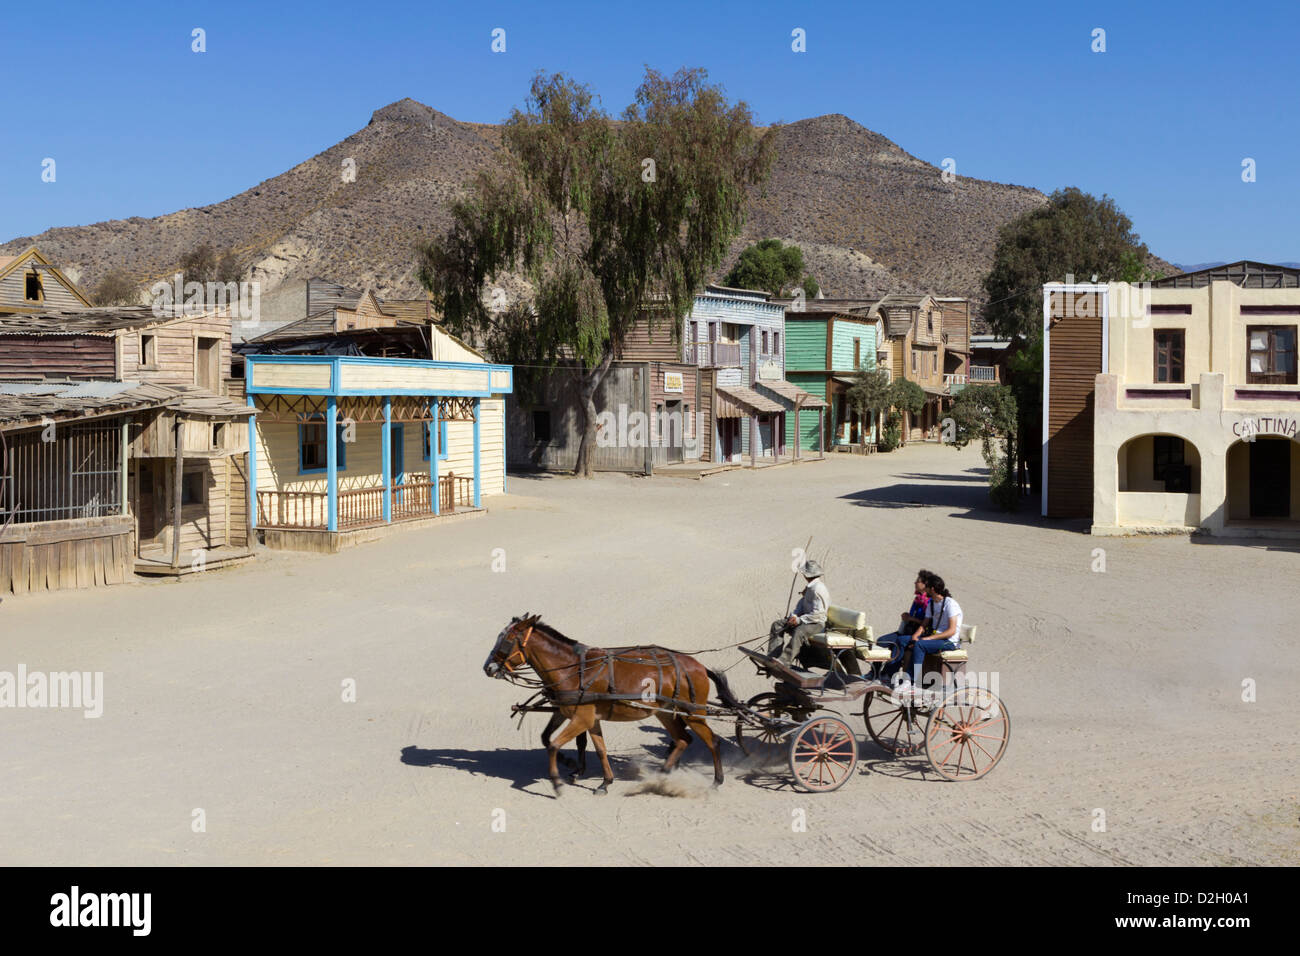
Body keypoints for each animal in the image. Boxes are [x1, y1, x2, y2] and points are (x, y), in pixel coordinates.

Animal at [483, 613, 738, 790]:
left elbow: (555, 744)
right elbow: (594, 748)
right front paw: (603, 781)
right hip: (664, 712)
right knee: (683, 739)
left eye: (506, 640)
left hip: (693, 712)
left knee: (711, 741)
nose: (488, 667)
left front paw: (562, 775)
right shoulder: (580, 715)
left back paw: (717, 780)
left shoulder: (582, 717)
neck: (573, 669)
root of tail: (698, 666)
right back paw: (663, 772)